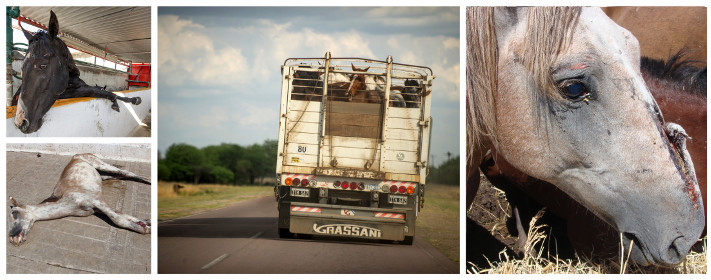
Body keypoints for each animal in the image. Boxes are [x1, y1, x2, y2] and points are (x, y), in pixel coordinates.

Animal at [8, 152, 150, 246]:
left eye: (14, 213)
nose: (12, 238)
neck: (69, 205)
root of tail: (78, 154)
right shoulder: (97, 208)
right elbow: (124, 215)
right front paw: (146, 223)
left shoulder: (96, 200)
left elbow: (118, 219)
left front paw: (145, 230)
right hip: (105, 175)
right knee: (123, 175)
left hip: (102, 165)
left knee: (128, 173)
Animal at [10, 10, 142, 133]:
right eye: (22, 67)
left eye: (43, 65)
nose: (20, 123)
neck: (71, 80)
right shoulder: (67, 93)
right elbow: (99, 91)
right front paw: (132, 100)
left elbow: (103, 90)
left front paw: (130, 100)